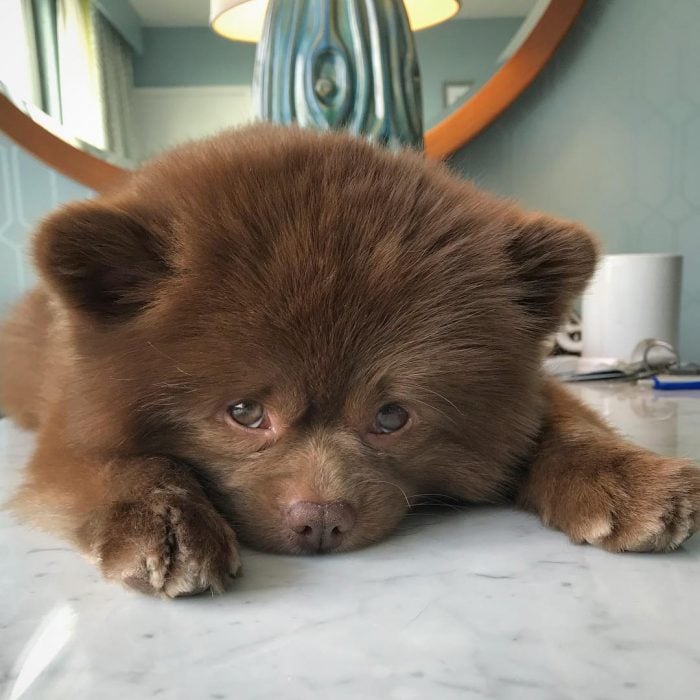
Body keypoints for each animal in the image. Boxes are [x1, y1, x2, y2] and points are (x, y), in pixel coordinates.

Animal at [1, 126, 700, 596]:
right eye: (244, 412)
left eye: (392, 417)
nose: (320, 520)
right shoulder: (70, 420)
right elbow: (124, 461)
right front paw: (164, 519)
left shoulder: (531, 389)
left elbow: (568, 425)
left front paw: (631, 479)